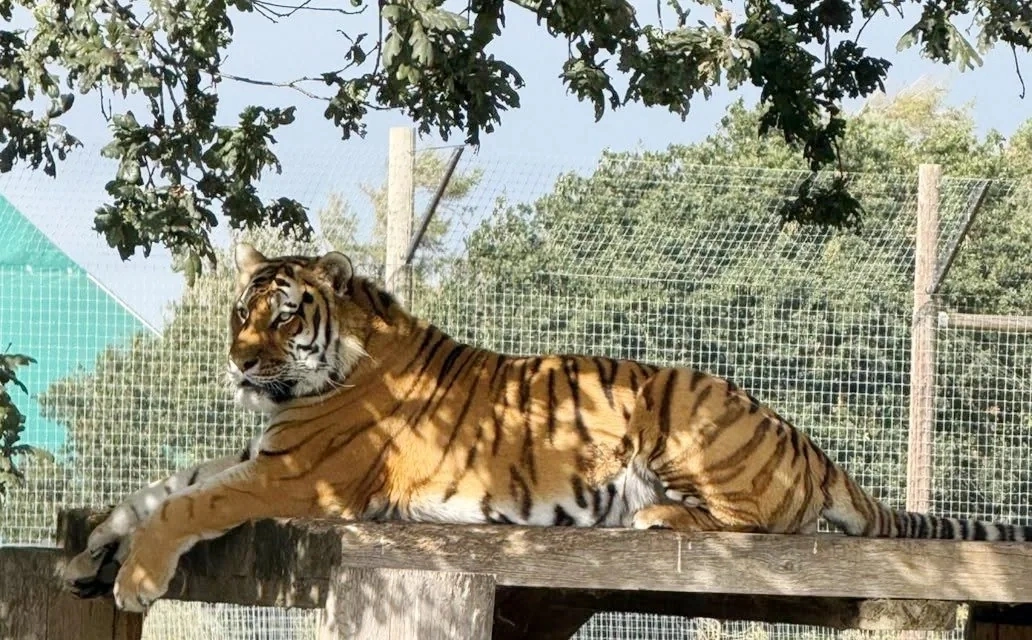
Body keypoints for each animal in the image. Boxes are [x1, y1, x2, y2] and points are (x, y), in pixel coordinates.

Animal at [63, 242, 1032, 612]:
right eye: (239, 315)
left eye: (283, 316)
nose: (240, 365)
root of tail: (812, 446)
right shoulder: (259, 452)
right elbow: (158, 487)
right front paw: (88, 549)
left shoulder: (300, 476)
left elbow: (186, 505)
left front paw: (135, 580)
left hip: (683, 409)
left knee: (761, 523)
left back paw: (653, 517)